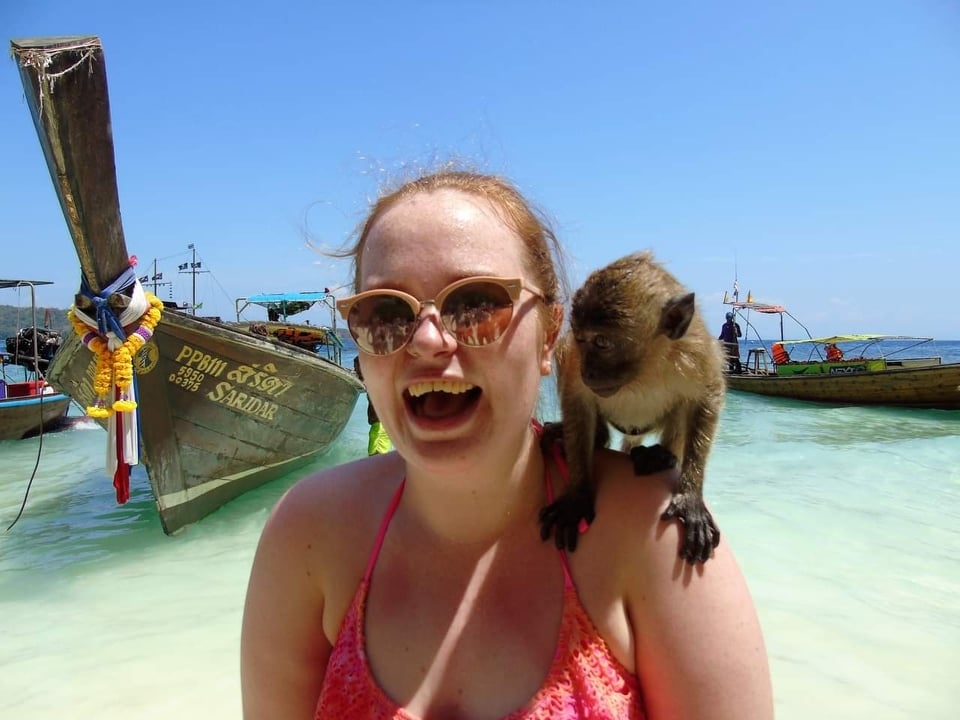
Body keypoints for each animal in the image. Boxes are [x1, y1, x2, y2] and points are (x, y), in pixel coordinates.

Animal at [539, 250, 726, 565]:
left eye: (602, 342)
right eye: (582, 339)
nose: (588, 372)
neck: (644, 370)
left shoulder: (695, 351)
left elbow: (707, 397)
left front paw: (690, 497)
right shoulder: (575, 358)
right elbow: (578, 397)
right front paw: (578, 494)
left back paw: (660, 455)